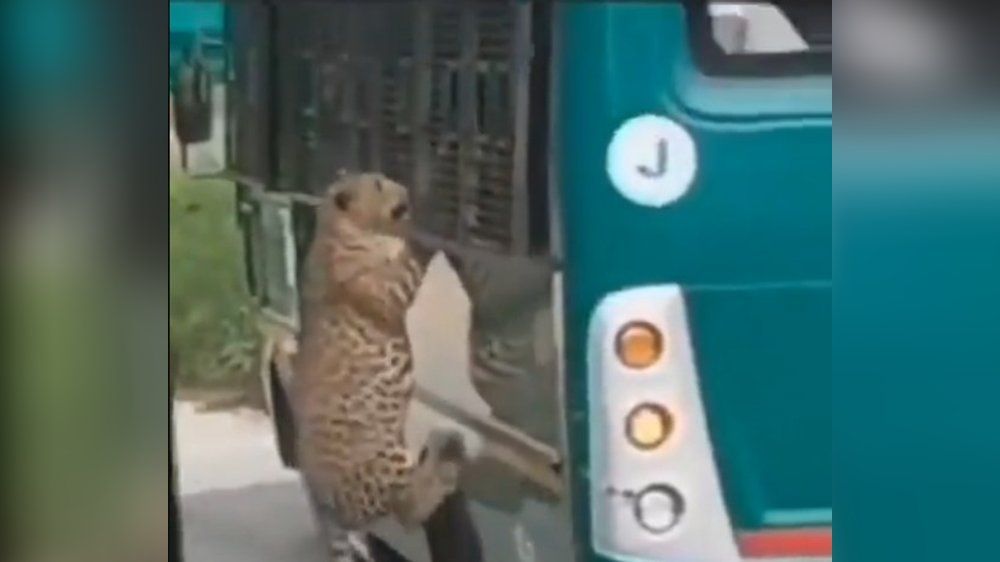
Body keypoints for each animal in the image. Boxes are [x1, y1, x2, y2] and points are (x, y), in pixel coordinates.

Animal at [291, 171, 466, 562]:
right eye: (378, 184)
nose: (405, 189)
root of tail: (325, 506)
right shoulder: (387, 286)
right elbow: (411, 257)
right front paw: (431, 226)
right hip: (383, 460)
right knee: (409, 508)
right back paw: (447, 459)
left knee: (406, 510)